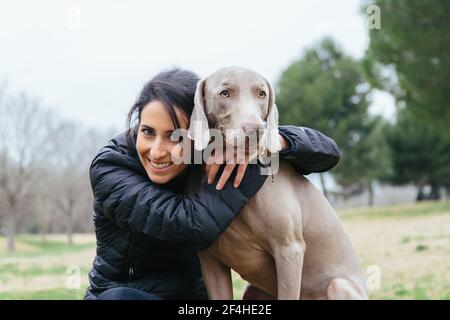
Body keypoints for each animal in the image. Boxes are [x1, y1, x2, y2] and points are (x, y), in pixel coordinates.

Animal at [185, 66, 368, 298]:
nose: (256, 130)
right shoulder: (210, 259)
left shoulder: (289, 249)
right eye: (225, 93)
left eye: (261, 94)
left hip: (339, 286)